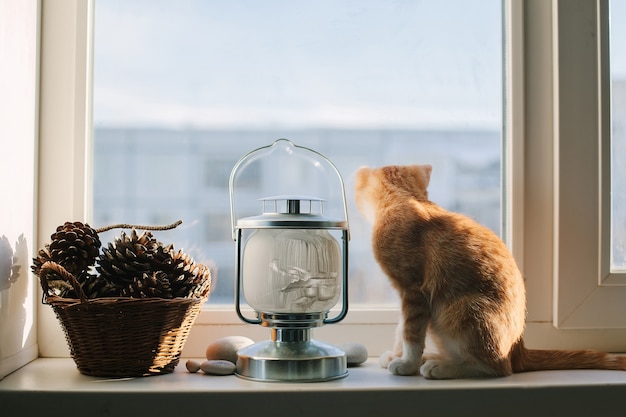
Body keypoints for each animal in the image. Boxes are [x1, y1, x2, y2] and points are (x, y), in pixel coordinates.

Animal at [354, 164, 624, 378]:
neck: (402, 198)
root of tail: (518, 350)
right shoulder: (406, 295)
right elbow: (401, 328)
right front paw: (397, 356)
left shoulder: (413, 290)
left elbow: (411, 332)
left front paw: (407, 363)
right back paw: (434, 358)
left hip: (463, 311)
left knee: (496, 368)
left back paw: (440, 367)